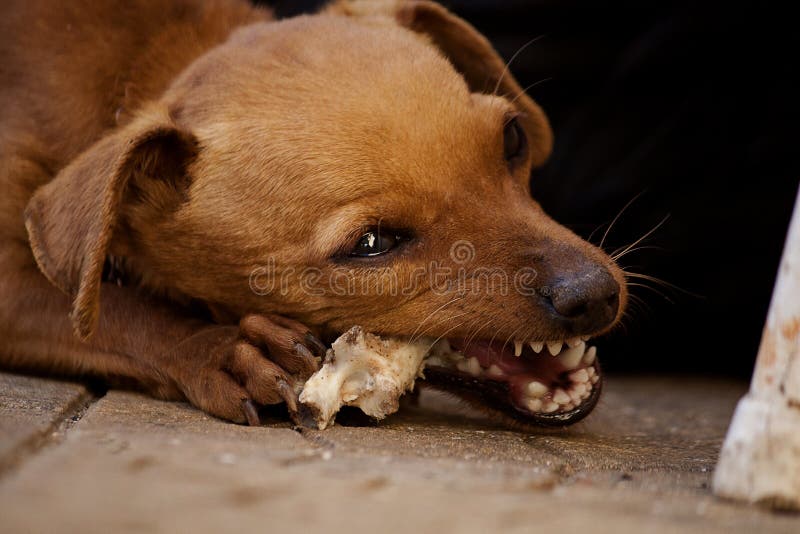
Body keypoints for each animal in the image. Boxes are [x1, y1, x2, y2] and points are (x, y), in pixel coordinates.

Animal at [0, 0, 624, 428]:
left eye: (514, 138)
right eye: (371, 244)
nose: (595, 295)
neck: (136, 68)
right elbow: (125, 311)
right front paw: (223, 348)